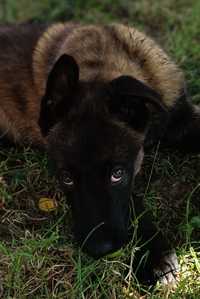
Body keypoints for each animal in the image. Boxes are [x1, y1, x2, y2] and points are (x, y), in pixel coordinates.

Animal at [0, 22, 199, 286]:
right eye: (66, 178)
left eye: (117, 173)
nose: (98, 249)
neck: (99, 65)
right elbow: (133, 203)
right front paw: (155, 257)